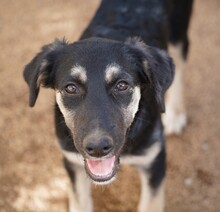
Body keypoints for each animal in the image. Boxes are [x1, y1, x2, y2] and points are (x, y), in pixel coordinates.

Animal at [23, 0, 192, 212]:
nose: (97, 148)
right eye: (71, 88)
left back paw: (176, 113)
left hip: (178, 25)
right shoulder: (72, 163)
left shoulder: (154, 160)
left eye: (122, 85)